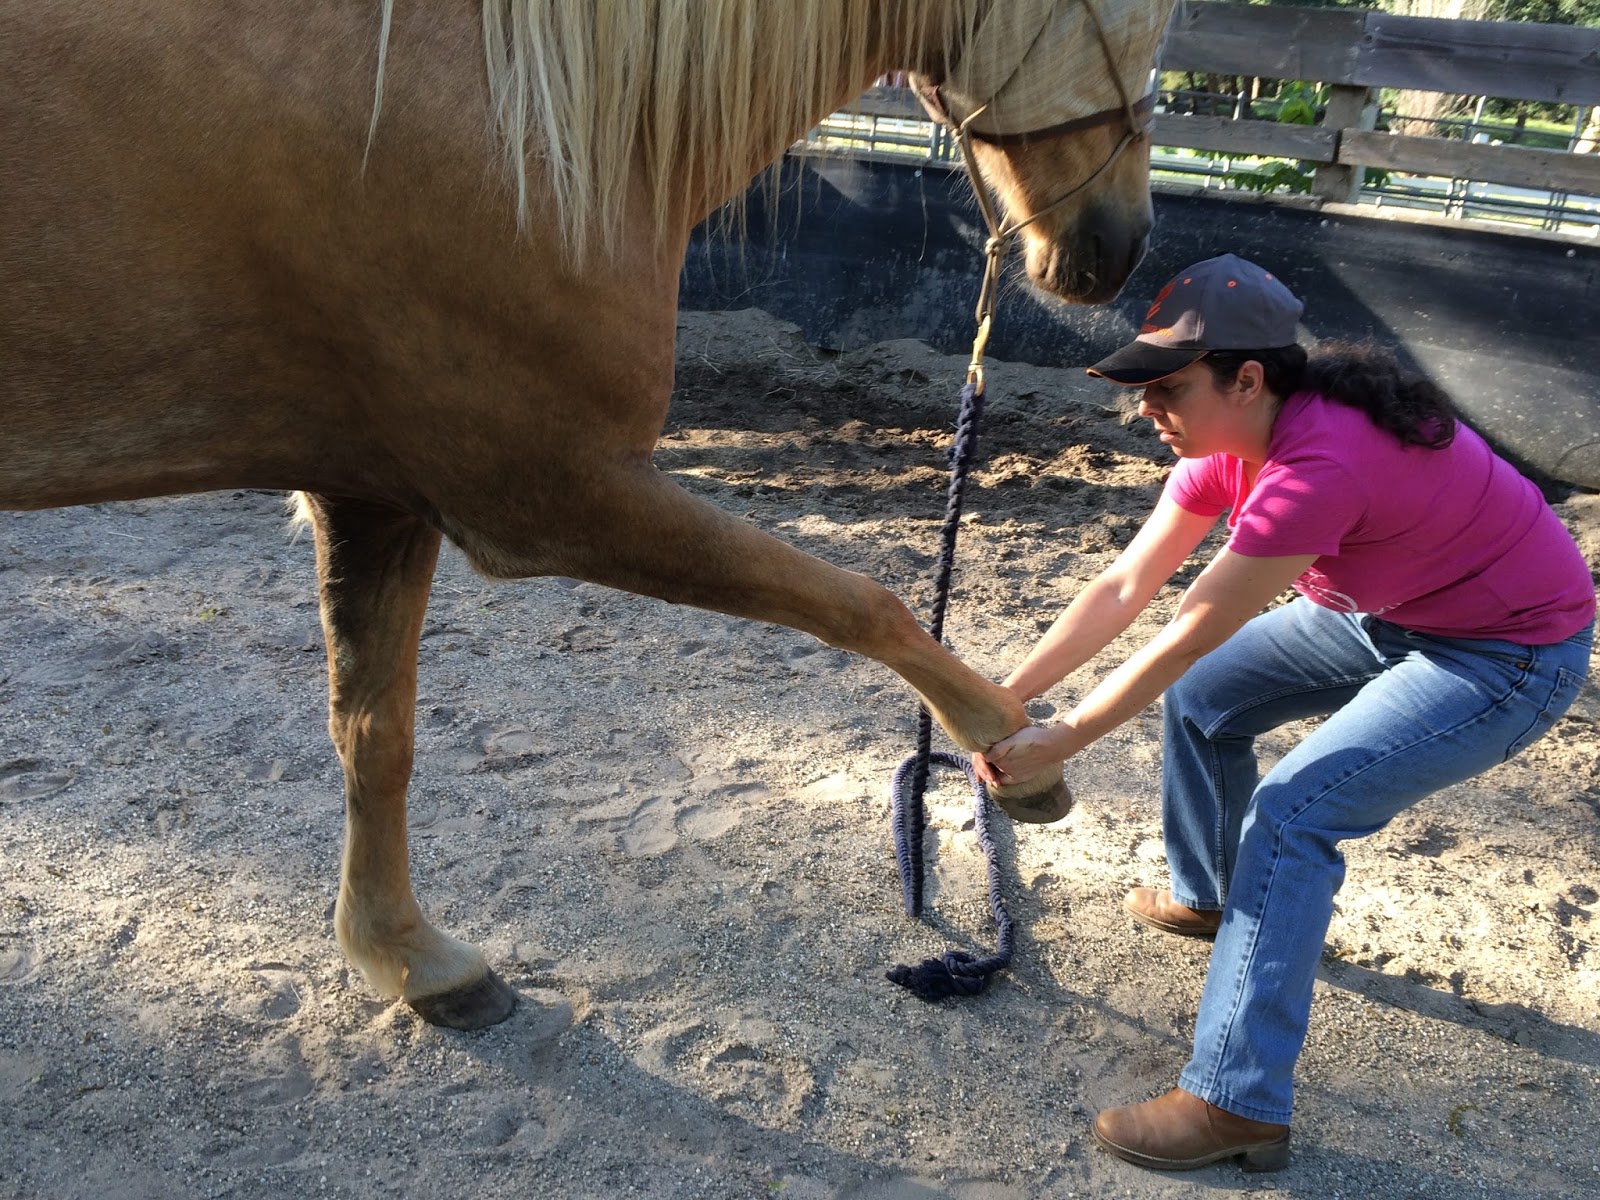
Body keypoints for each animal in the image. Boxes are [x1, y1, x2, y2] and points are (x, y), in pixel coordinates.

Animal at [1, 0, 1176, 1029]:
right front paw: (1017, 752)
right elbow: (862, 600)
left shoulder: (377, 495)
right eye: (1138, 20)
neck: (516, 125)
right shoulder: (554, 495)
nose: (1123, 248)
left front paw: (410, 959)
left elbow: (375, 736)